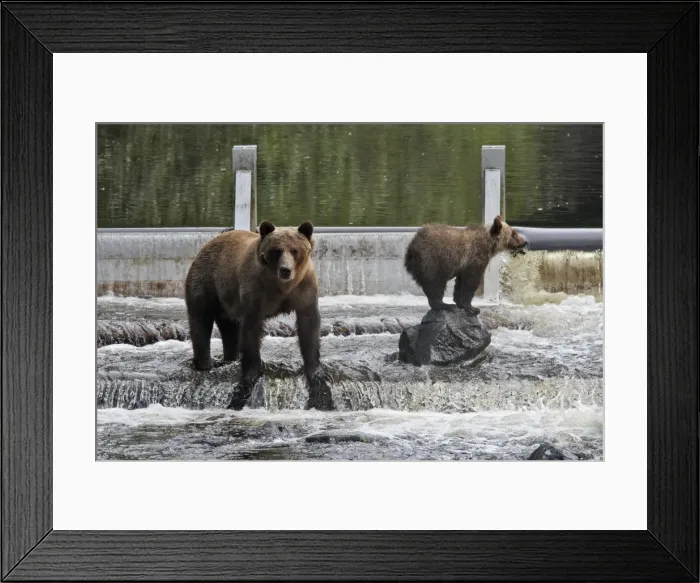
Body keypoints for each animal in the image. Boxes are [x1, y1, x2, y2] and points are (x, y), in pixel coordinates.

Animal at [184, 220, 333, 411]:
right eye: (277, 250)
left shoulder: (304, 290)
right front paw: (251, 374)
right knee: (200, 322)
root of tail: (208, 243)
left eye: (294, 250)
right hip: (207, 283)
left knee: (229, 330)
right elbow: (251, 331)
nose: (285, 270)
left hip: (227, 301)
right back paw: (204, 364)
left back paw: (229, 358)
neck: (281, 286)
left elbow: (309, 326)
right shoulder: (255, 291)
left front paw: (315, 371)